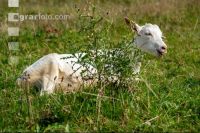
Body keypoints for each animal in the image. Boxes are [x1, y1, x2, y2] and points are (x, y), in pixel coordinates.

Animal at [16, 17, 167, 95]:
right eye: (147, 33)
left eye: (161, 35)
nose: (164, 48)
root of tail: (21, 77)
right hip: (50, 69)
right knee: (45, 94)